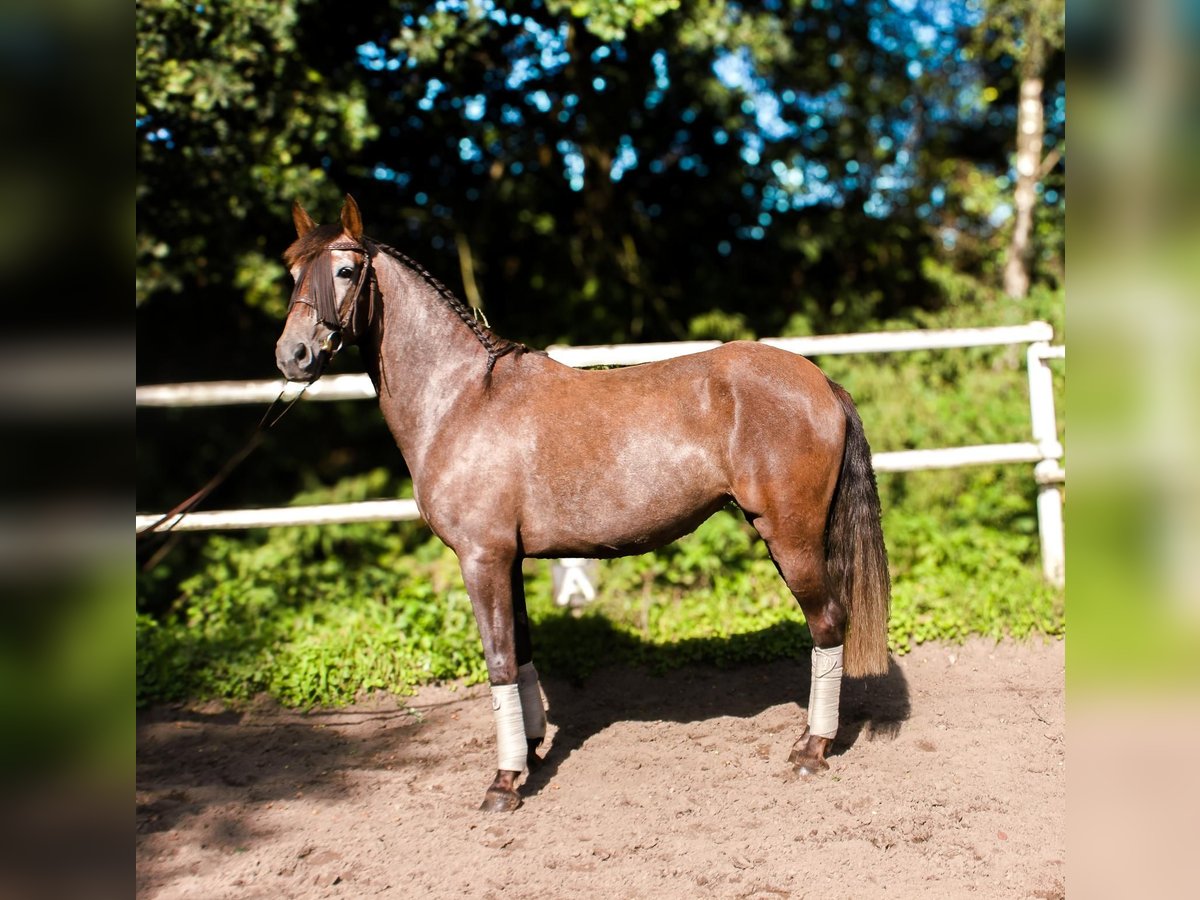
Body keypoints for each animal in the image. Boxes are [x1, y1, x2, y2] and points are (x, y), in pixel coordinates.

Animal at [274, 194, 892, 816]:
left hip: (790, 537)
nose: (292, 355)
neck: (462, 400)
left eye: (346, 270)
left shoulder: (481, 559)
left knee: (827, 622)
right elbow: (521, 651)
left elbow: (498, 659)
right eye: (293, 271)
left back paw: (812, 749)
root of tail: (821, 382)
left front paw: (504, 783)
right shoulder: (508, 561)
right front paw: (530, 750)